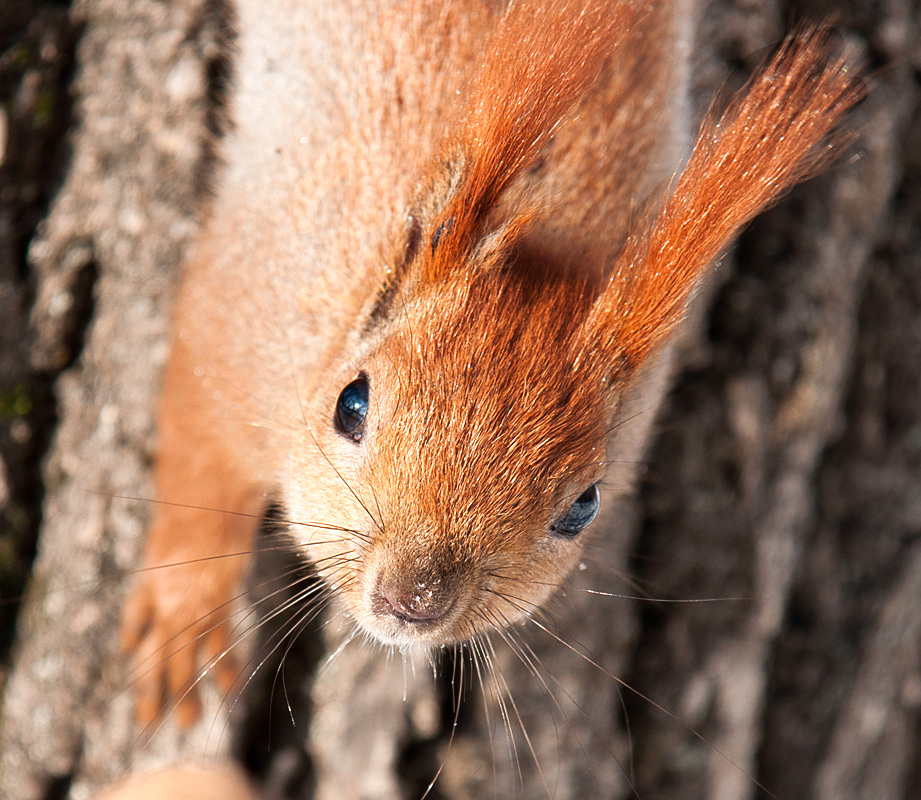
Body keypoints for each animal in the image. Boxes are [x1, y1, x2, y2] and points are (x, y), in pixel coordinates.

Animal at [117, 0, 864, 788]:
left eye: (583, 505)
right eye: (351, 404)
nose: (412, 601)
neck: (548, 229)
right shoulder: (241, 315)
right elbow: (197, 448)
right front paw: (184, 614)